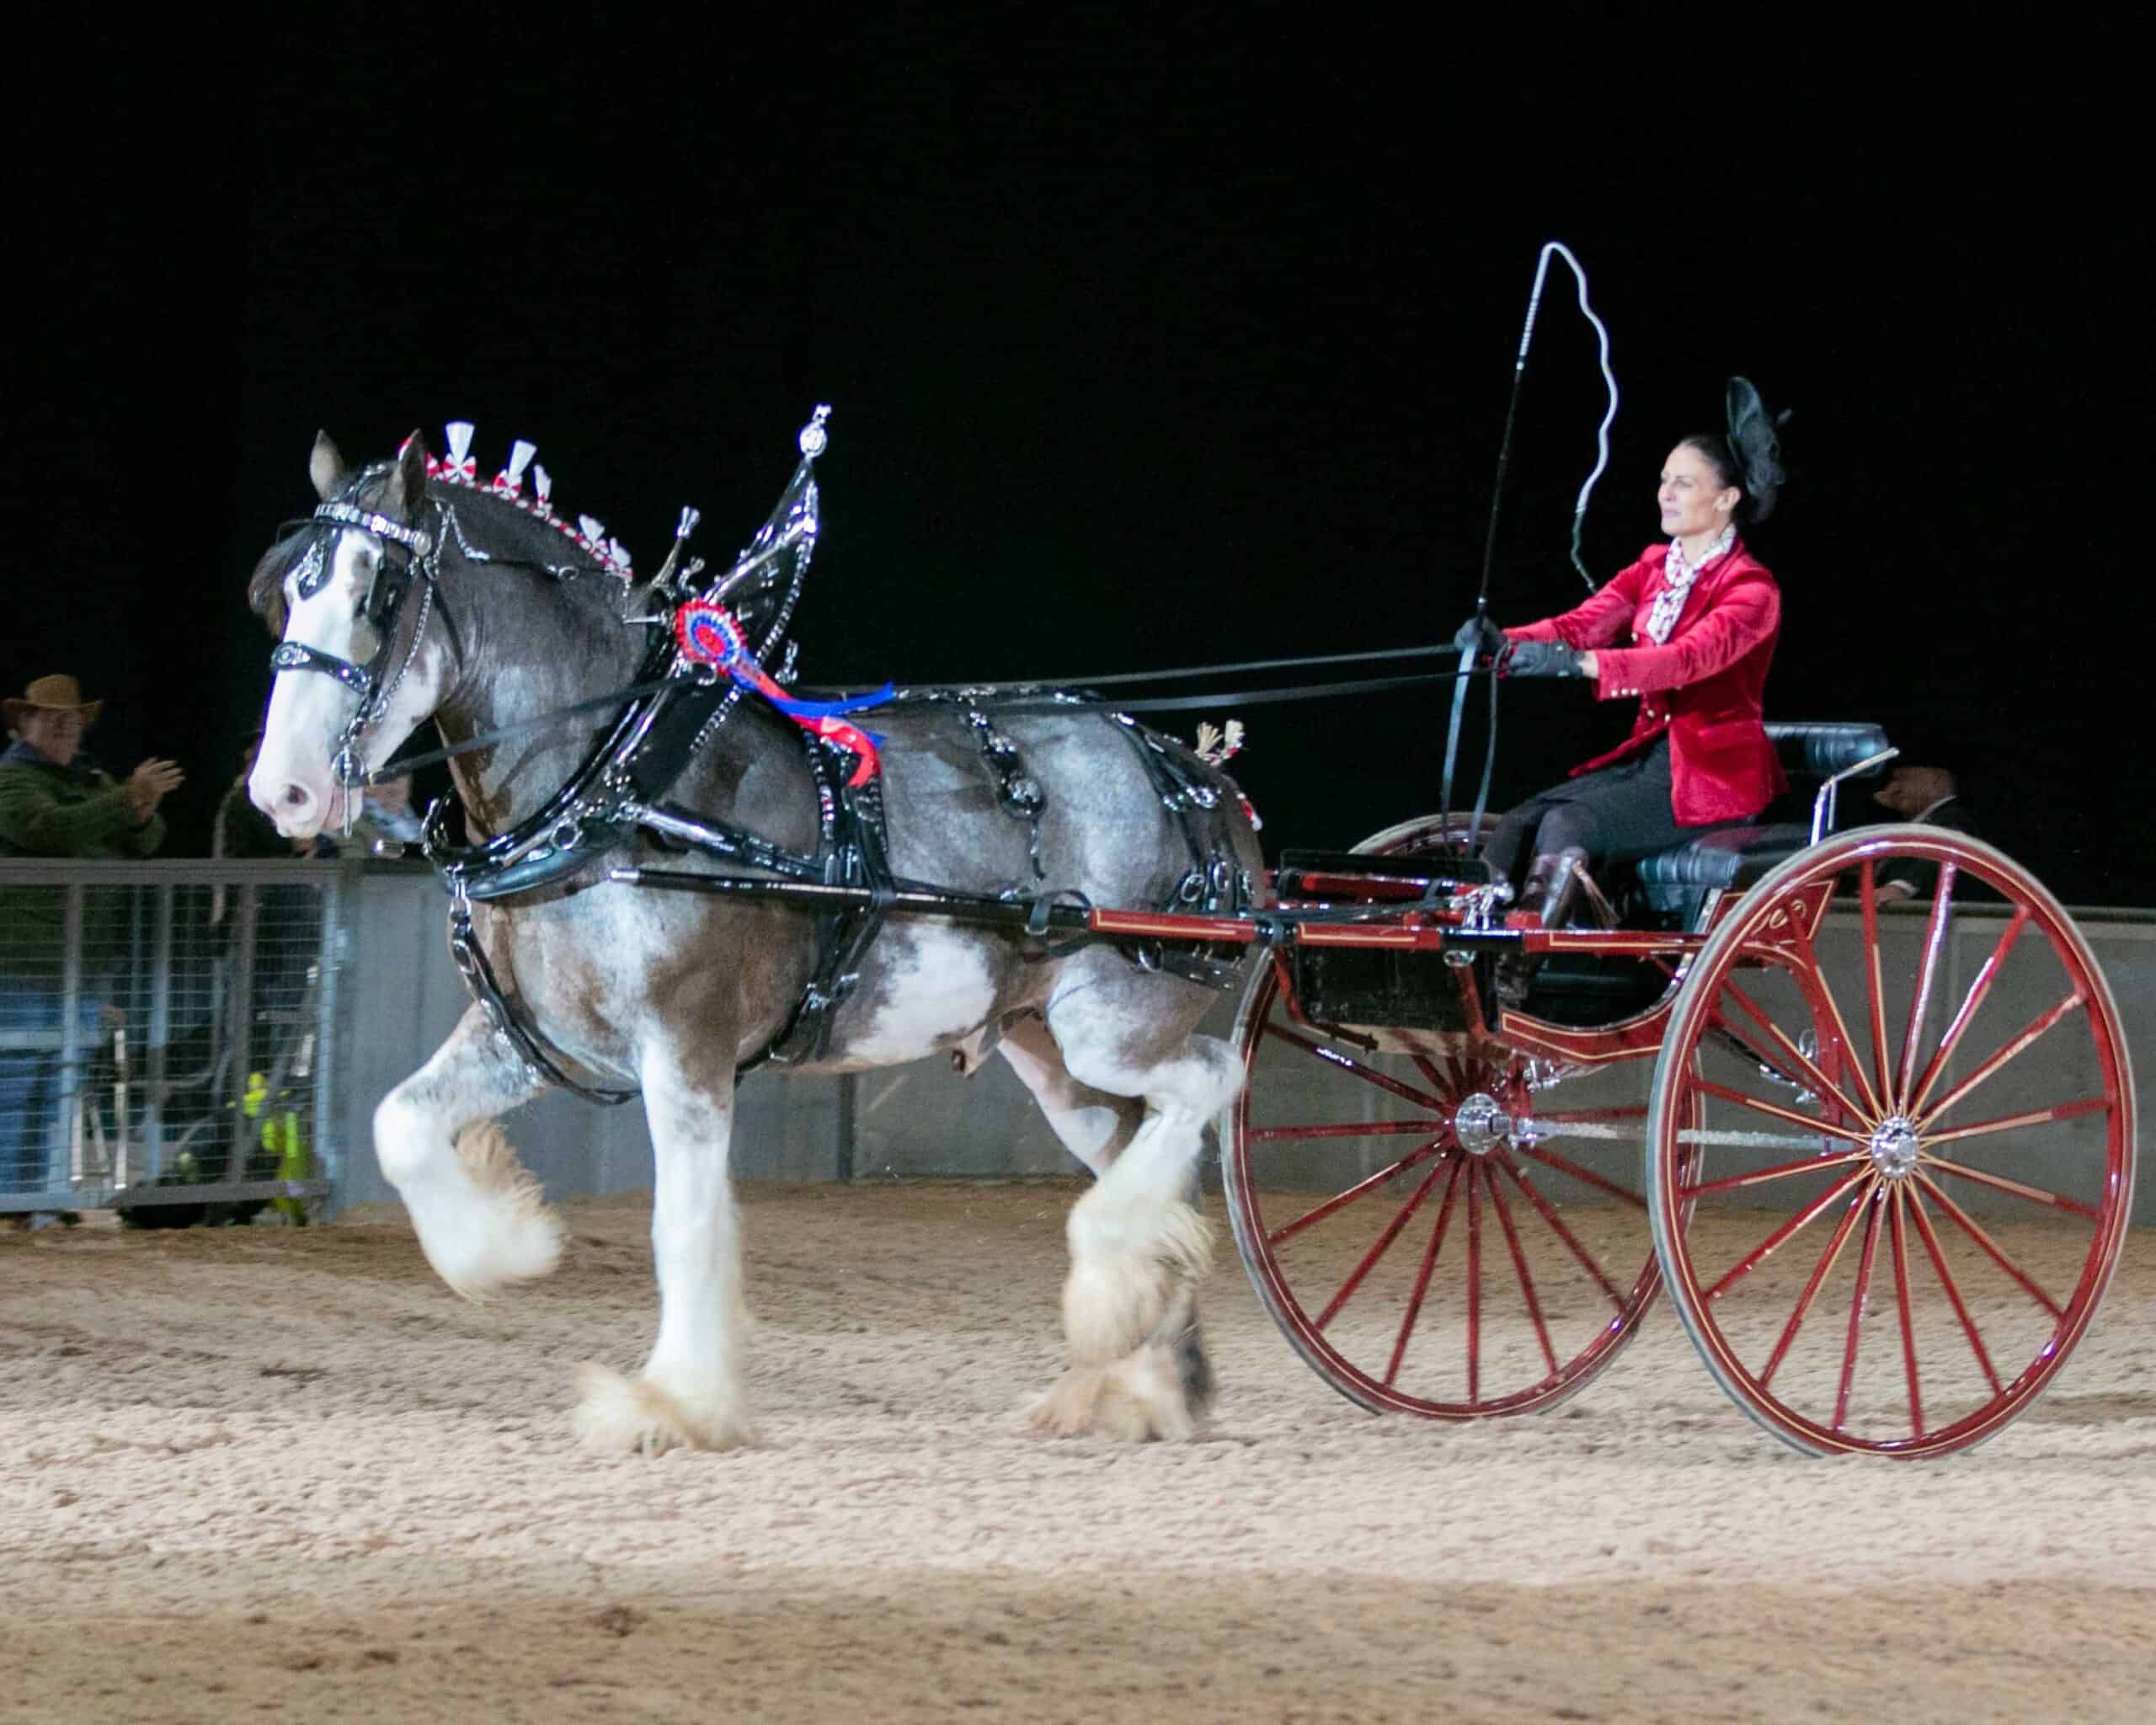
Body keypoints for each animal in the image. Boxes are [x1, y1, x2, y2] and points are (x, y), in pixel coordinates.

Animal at [247, 425, 1267, 1449]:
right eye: (286, 591)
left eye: (378, 592)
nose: (280, 792)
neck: (621, 781)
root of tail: (1193, 776)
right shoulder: (532, 1035)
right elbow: (400, 1123)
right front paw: (506, 1246)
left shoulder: (686, 1042)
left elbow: (684, 1223)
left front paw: (676, 1400)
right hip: (1053, 1055)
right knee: (1142, 1146)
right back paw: (1146, 1370)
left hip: (1113, 1018)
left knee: (1212, 1078)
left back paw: (1116, 1300)